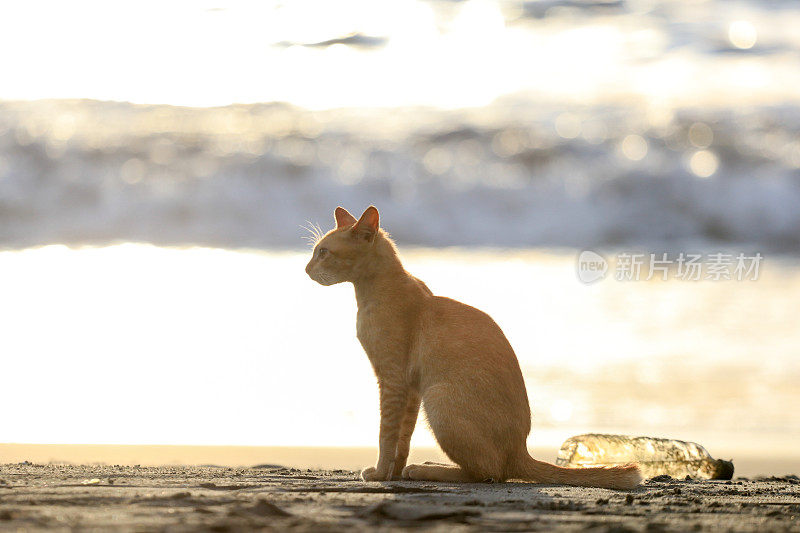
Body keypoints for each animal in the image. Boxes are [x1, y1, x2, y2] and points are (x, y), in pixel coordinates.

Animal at [304, 206, 640, 488]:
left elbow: (386, 435)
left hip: (438, 399)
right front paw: (393, 473)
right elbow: (402, 439)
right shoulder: (410, 390)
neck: (374, 292)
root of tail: (521, 450)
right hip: (430, 397)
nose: (306, 269)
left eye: (323, 252)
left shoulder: (392, 381)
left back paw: (429, 469)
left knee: (490, 473)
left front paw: (378, 473)